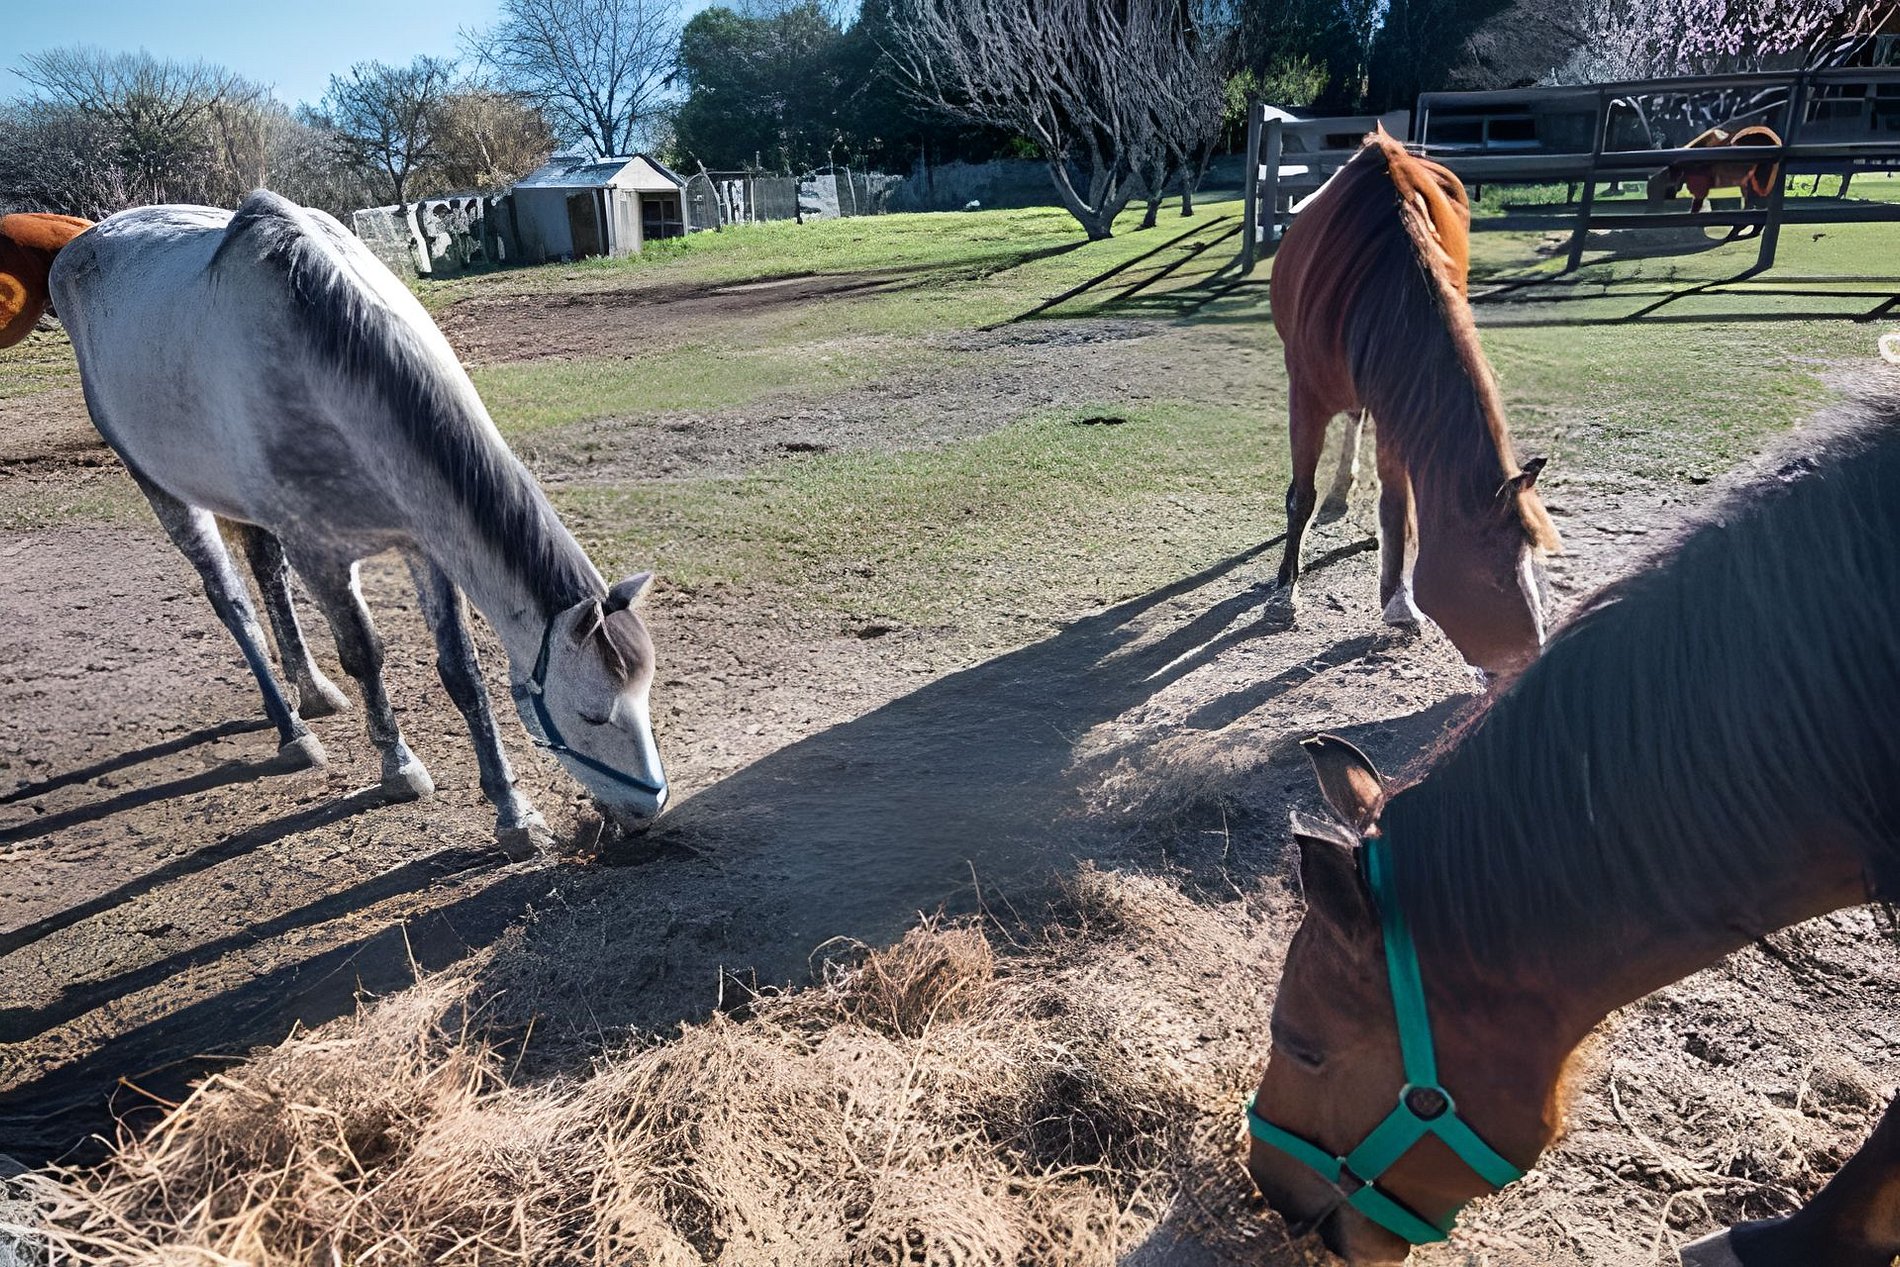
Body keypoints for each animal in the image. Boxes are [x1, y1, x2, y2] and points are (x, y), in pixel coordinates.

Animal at [4, 192, 669, 858]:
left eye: (645, 693)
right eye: (591, 715)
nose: (646, 810)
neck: (326, 356)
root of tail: (81, 244)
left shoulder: (423, 545)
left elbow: (462, 673)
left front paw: (513, 812)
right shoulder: (321, 555)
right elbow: (365, 655)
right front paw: (399, 768)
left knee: (267, 576)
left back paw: (312, 691)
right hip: (163, 489)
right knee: (233, 600)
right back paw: (291, 730)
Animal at [1270, 130, 1561, 677]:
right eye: (1493, 575)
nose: (1529, 660)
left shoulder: (1398, 404)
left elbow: (1396, 506)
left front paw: (1398, 601)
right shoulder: (1307, 398)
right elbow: (1301, 497)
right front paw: (1283, 592)